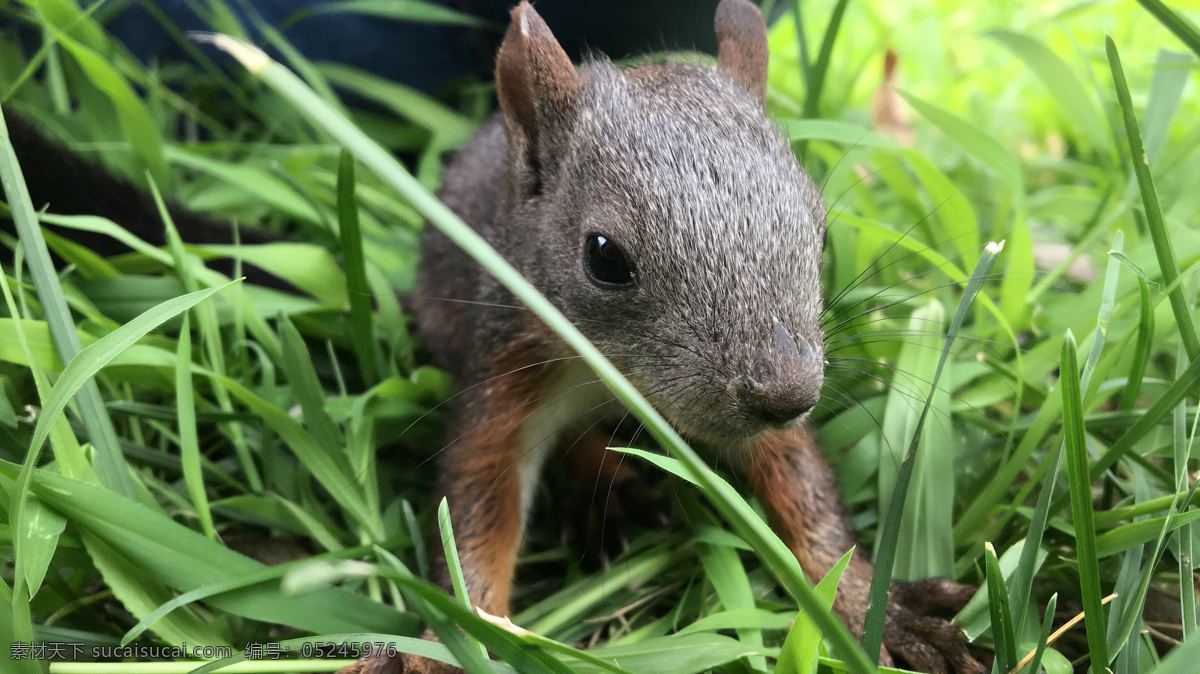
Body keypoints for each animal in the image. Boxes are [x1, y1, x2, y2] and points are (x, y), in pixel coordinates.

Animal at [345, 1, 984, 671]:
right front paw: (439, 646)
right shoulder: (505, 367)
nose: (789, 395)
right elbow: (475, 510)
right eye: (604, 256)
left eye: (821, 228)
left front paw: (869, 604)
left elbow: (803, 492)